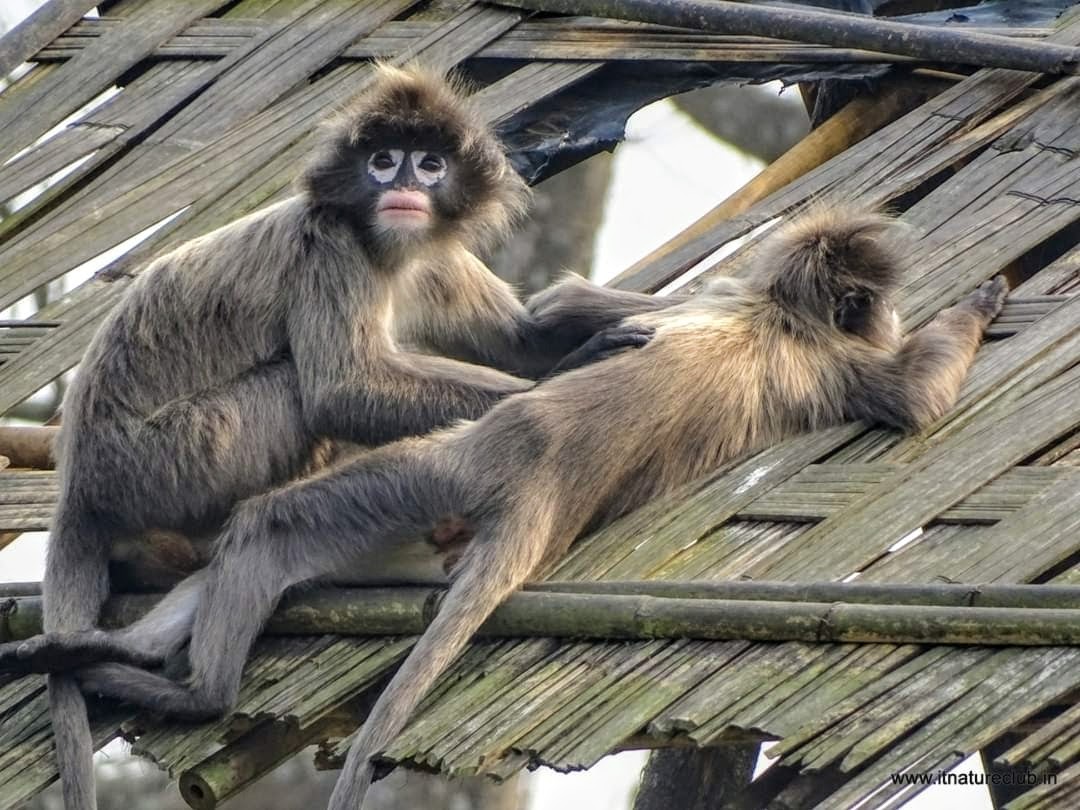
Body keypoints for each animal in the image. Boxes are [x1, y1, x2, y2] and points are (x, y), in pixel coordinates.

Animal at [0, 64, 664, 810]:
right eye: (382, 160)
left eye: (429, 164)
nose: (403, 184)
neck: (385, 248)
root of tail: (79, 480)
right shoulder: (330, 243)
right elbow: (338, 391)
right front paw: (578, 367)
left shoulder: (433, 256)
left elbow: (521, 341)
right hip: (169, 457)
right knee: (290, 389)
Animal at [4, 207, 1008, 809]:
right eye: (874, 308)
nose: (888, 315)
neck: (779, 312)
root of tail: (544, 491)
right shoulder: (817, 350)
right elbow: (910, 399)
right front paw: (985, 300)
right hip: (442, 474)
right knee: (266, 527)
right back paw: (193, 690)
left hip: (417, 514)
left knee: (264, 536)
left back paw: (132, 663)